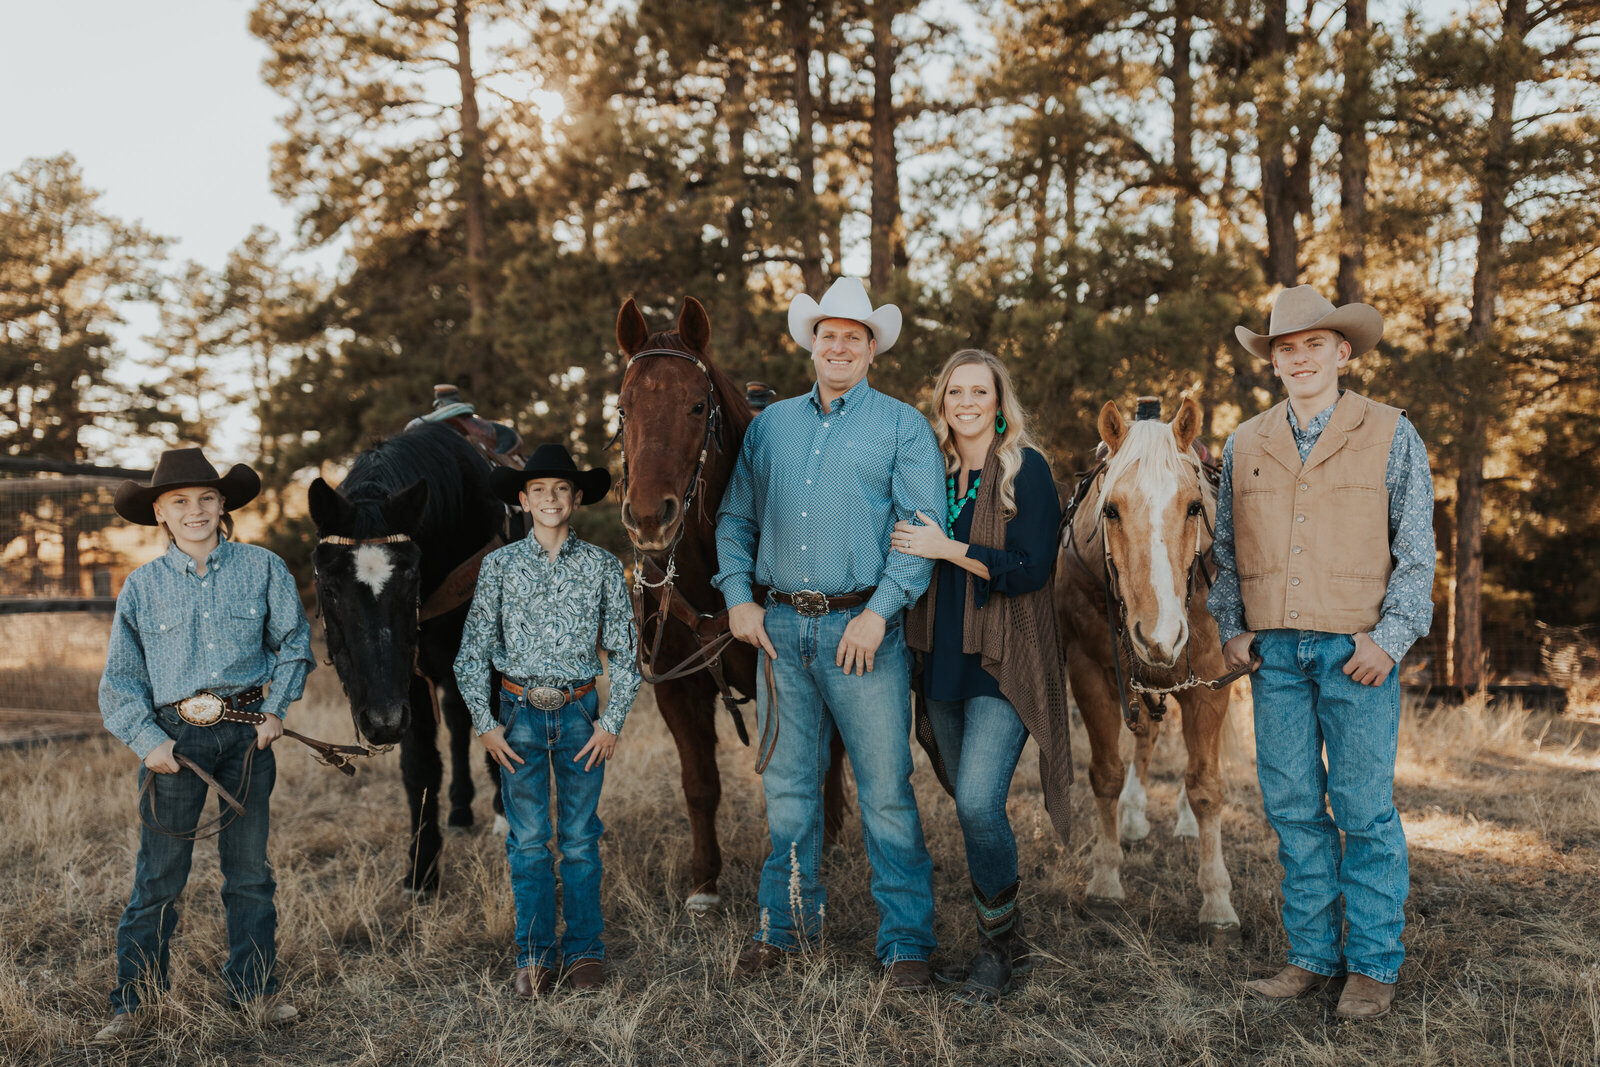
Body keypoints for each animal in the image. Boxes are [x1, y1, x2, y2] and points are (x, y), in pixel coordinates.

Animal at [305, 422, 505, 895]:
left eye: (412, 577)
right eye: (330, 588)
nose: (382, 723)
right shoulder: (408, 679)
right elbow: (420, 766)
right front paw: (422, 868)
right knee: (457, 722)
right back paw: (460, 810)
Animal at [611, 295, 851, 915]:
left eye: (697, 406)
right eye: (623, 409)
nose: (648, 516)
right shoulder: (675, 690)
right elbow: (701, 784)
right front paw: (704, 882)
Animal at [1062, 398, 1248, 934]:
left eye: (1194, 507)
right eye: (1111, 510)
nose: (1160, 634)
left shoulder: (1208, 680)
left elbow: (1206, 785)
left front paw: (1217, 901)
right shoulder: (1089, 672)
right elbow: (1105, 773)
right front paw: (1105, 880)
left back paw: (1184, 820)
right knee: (1146, 737)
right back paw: (1133, 814)